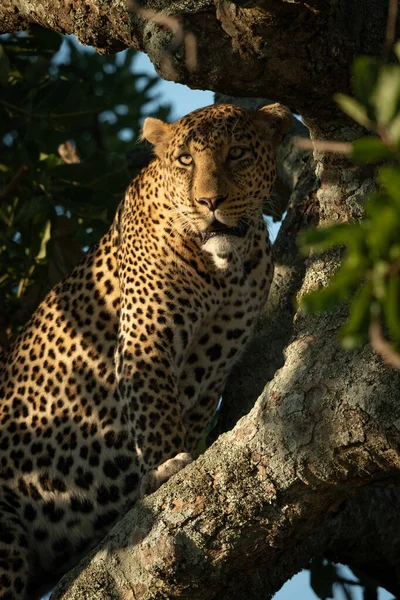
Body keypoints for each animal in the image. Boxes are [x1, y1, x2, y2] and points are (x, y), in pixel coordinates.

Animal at [0, 103, 290, 600]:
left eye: (236, 154)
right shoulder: (145, 337)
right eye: (186, 160)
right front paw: (165, 469)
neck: (224, 266)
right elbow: (155, 407)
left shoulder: (214, 362)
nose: (209, 202)